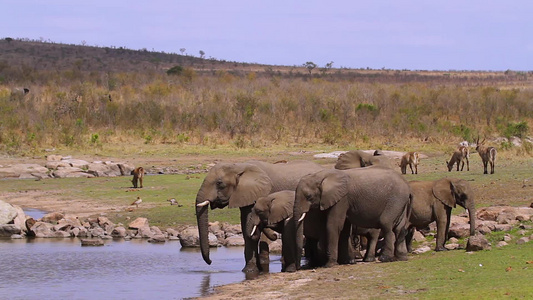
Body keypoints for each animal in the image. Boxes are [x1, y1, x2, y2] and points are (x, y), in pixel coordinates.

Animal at [193, 161, 322, 274]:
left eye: (219, 183)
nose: (210, 262)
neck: (238, 166)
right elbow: (246, 228)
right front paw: (252, 270)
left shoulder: (261, 194)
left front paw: (251, 270)